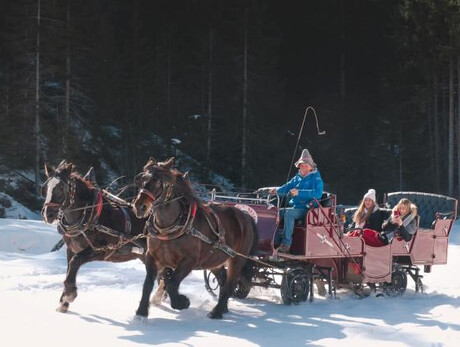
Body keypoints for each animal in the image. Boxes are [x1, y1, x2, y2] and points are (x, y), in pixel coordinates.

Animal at [41, 162, 167, 314]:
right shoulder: (71, 249)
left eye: (61, 187)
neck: (89, 215)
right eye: (45, 188)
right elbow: (69, 268)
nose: (48, 214)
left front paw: (69, 295)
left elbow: (75, 262)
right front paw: (63, 303)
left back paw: (158, 297)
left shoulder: (101, 250)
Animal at [132, 158, 258, 320]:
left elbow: (172, 284)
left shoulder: (189, 261)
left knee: (230, 284)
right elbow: (148, 284)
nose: (139, 206)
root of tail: (246, 217)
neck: (170, 228)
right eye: (140, 180)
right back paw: (222, 308)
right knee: (223, 280)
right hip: (214, 259)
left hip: (237, 260)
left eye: (158, 182)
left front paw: (182, 302)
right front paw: (141, 311)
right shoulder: (152, 257)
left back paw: (216, 312)